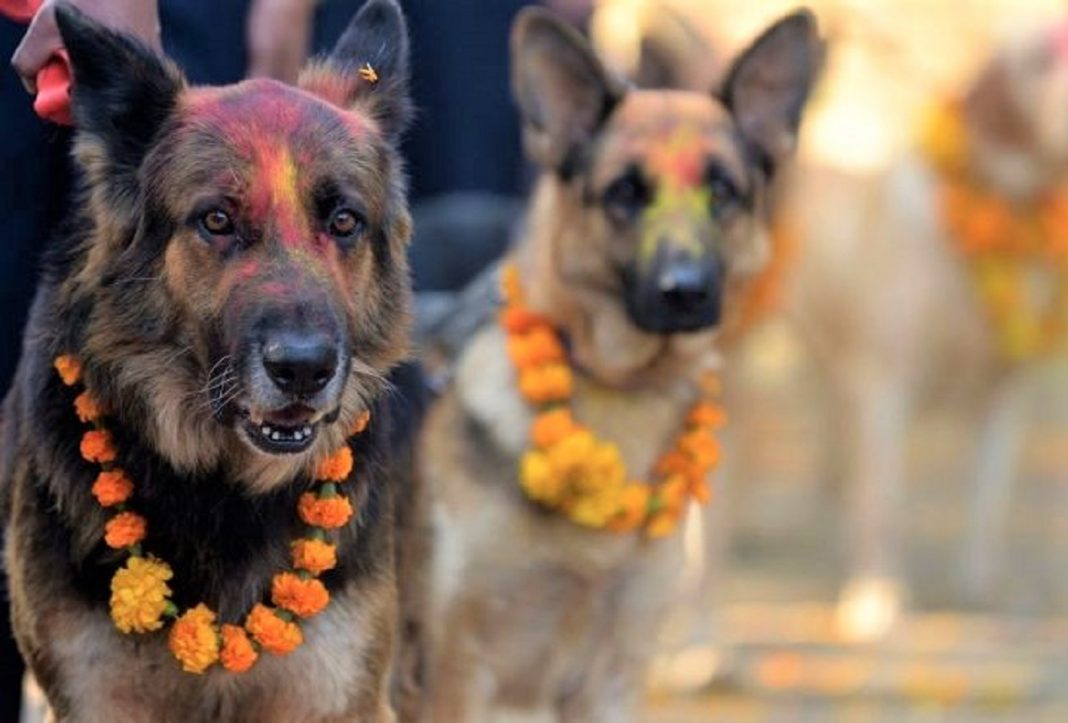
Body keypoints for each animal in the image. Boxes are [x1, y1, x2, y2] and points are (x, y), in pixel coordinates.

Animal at [0, 2, 414, 717]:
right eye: (216, 220)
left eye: (344, 222)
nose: (303, 370)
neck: (224, 487)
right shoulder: (97, 698)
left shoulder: (334, 694)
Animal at [416, 7, 815, 721]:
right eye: (625, 193)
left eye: (722, 191)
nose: (685, 292)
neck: (619, 388)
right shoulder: (454, 674)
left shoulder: (611, 675)